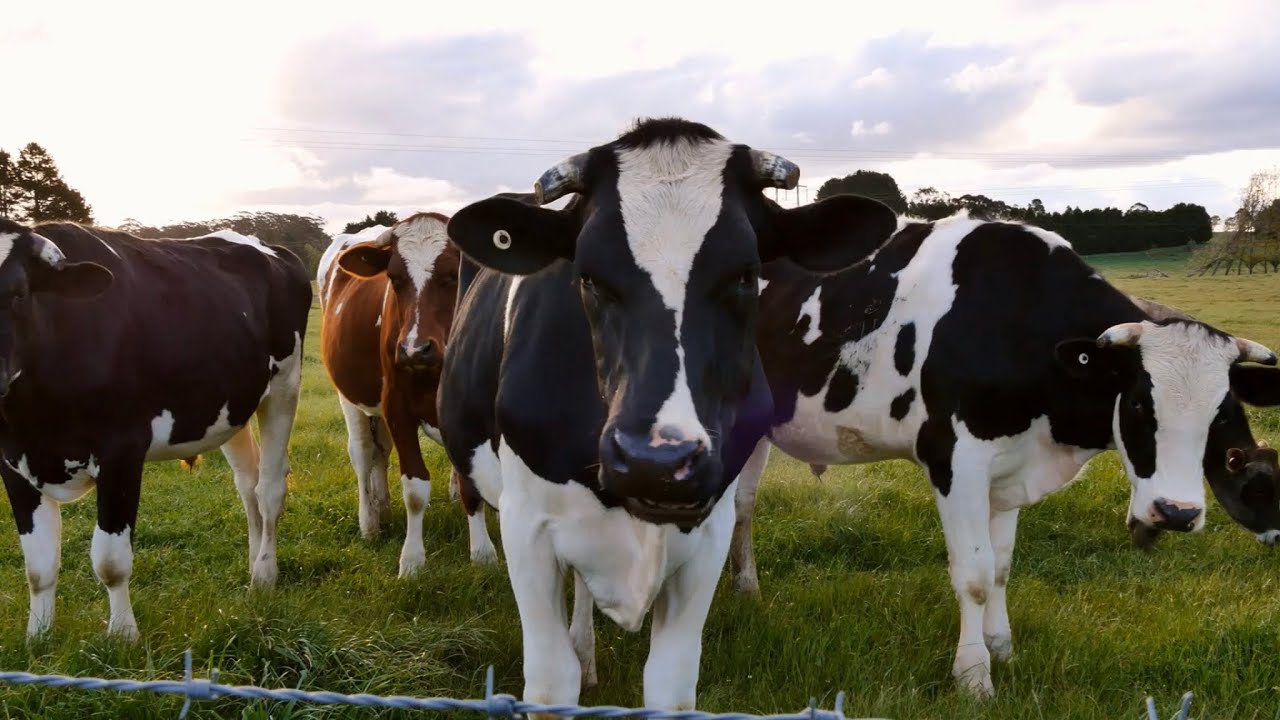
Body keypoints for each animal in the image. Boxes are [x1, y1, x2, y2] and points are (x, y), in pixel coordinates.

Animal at [0, 218, 310, 642]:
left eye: (17, 294)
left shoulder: (122, 452)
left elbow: (110, 560)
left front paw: (122, 636)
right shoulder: (13, 463)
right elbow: (38, 567)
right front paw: (39, 638)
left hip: (283, 387)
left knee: (270, 488)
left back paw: (264, 576)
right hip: (233, 406)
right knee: (248, 484)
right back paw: (253, 563)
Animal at [316, 213, 468, 577]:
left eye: (452, 274)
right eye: (394, 279)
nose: (415, 349)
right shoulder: (396, 404)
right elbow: (414, 487)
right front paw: (412, 561)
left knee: (380, 450)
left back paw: (383, 505)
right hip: (349, 396)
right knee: (362, 451)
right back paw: (369, 521)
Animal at [436, 117, 895, 711]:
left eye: (746, 274)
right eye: (587, 276)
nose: (656, 461)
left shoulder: (709, 531)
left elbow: (671, 685)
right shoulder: (525, 525)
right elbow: (550, 681)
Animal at [717, 209, 1280, 698]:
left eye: (1219, 416)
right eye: (1140, 402)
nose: (1177, 513)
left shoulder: (1010, 469)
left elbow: (1003, 565)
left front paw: (1001, 646)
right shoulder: (955, 460)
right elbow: (975, 574)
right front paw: (974, 676)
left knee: (743, 505)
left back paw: (746, 589)